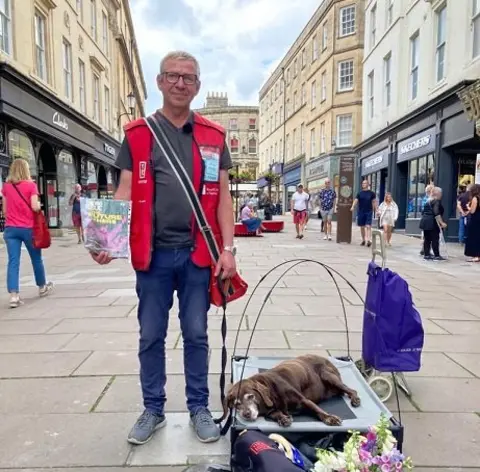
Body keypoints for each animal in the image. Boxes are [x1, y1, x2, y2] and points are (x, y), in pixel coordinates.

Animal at [219, 354, 358, 428]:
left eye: (250, 396)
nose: (246, 414)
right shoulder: (270, 411)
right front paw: (283, 418)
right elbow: (277, 414)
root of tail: (326, 358)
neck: (272, 394)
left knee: (351, 390)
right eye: (237, 404)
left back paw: (355, 399)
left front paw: (329, 418)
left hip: (329, 376)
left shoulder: (304, 400)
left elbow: (318, 410)